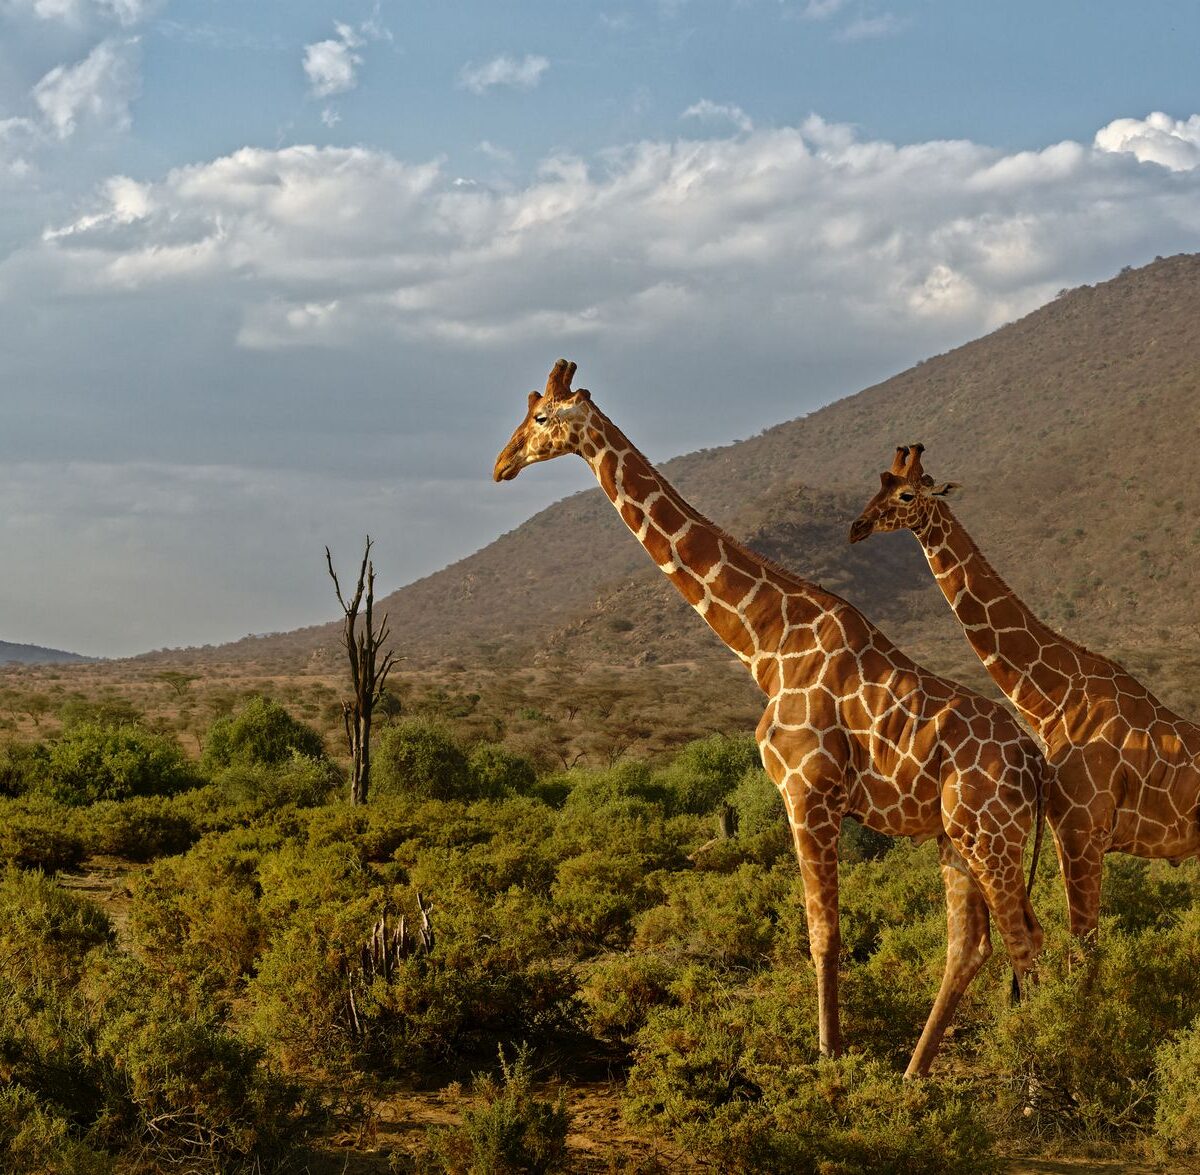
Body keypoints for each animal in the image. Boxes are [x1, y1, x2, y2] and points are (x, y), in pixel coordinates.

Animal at [494, 360, 1046, 1078]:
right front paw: (839, 1055)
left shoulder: (808, 793)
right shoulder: (814, 798)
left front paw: (830, 1058)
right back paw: (913, 1074)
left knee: (1025, 940)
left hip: (991, 836)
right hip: (957, 836)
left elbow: (823, 932)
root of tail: (1036, 763)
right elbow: (825, 930)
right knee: (974, 943)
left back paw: (1046, 1075)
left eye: (540, 417)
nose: (501, 464)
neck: (765, 643)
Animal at [849, 443, 1200, 941]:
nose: (856, 528)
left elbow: (1083, 945)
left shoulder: (1082, 832)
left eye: (904, 494)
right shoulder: (1064, 832)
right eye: (876, 484)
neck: (1056, 700)